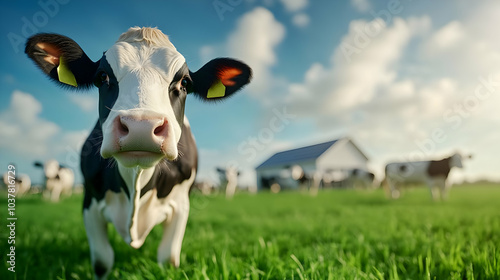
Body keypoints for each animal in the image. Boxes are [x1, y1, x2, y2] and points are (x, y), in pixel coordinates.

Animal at [25, 26, 252, 280]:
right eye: (102, 77)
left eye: (184, 82)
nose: (140, 126)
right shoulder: (90, 201)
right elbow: (102, 261)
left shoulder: (181, 204)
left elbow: (168, 258)